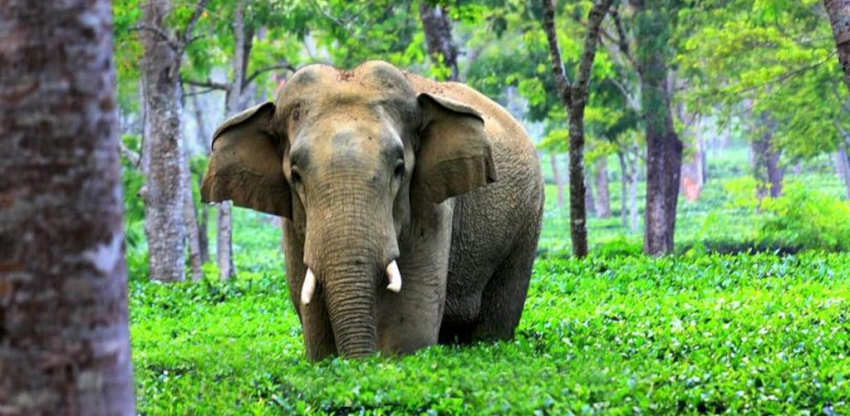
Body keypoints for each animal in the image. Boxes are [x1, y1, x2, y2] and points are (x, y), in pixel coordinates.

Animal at [201, 60, 544, 361]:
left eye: (399, 168)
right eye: (295, 174)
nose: (360, 362)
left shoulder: (431, 207)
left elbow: (411, 325)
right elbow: (314, 322)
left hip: (527, 222)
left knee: (497, 317)